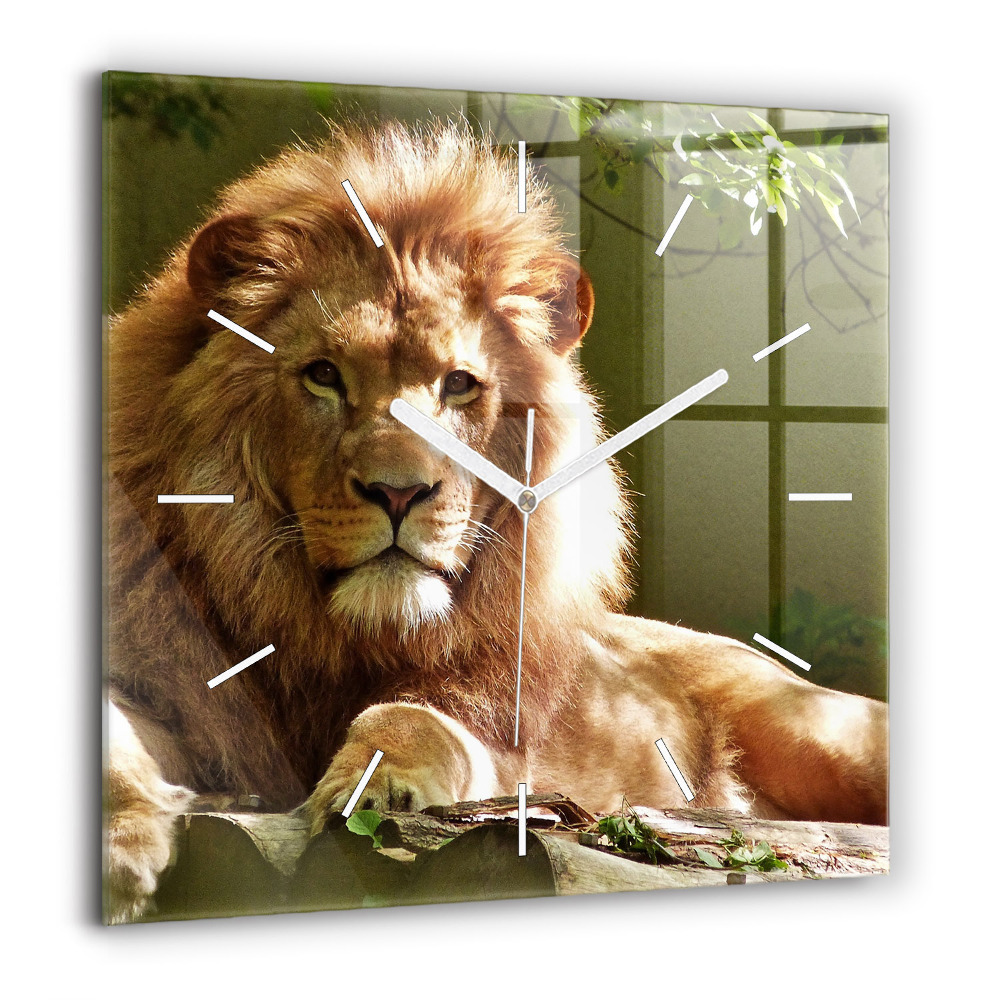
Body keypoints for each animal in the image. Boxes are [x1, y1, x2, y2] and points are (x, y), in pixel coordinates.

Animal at [105, 120, 888, 924]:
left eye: (458, 385)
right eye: (323, 375)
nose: (400, 493)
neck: (336, 635)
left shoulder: (512, 750)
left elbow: (411, 718)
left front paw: (379, 789)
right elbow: (112, 733)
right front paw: (120, 847)